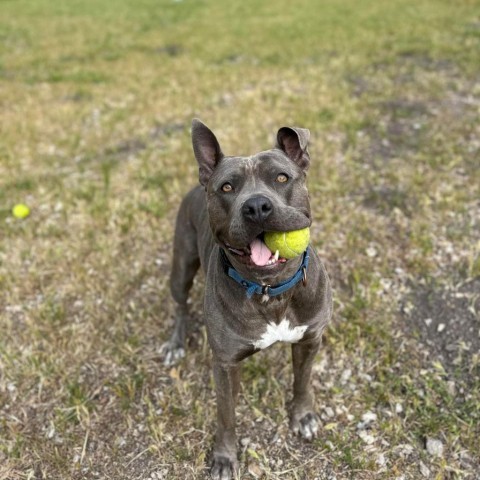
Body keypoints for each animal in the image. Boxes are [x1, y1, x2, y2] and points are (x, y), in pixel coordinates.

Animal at [163, 120, 332, 480]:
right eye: (227, 187)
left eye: (281, 178)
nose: (256, 206)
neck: (270, 291)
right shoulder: (225, 365)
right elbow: (226, 416)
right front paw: (225, 458)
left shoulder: (310, 340)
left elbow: (302, 381)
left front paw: (303, 416)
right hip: (181, 265)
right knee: (180, 304)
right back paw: (175, 343)